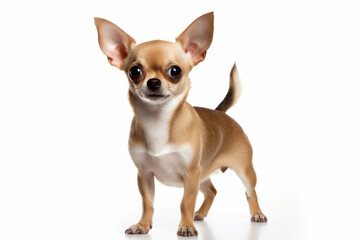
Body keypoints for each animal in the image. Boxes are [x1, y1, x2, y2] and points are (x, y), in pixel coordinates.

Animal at [94, 12, 266, 237]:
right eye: (135, 71)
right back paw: (200, 213)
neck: (158, 120)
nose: (153, 82)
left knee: (250, 192)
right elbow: (148, 203)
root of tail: (221, 113)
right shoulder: (145, 174)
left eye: (175, 71)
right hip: (203, 173)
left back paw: (257, 214)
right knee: (212, 191)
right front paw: (143, 225)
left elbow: (186, 203)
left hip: (243, 170)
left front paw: (186, 226)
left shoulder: (190, 174)